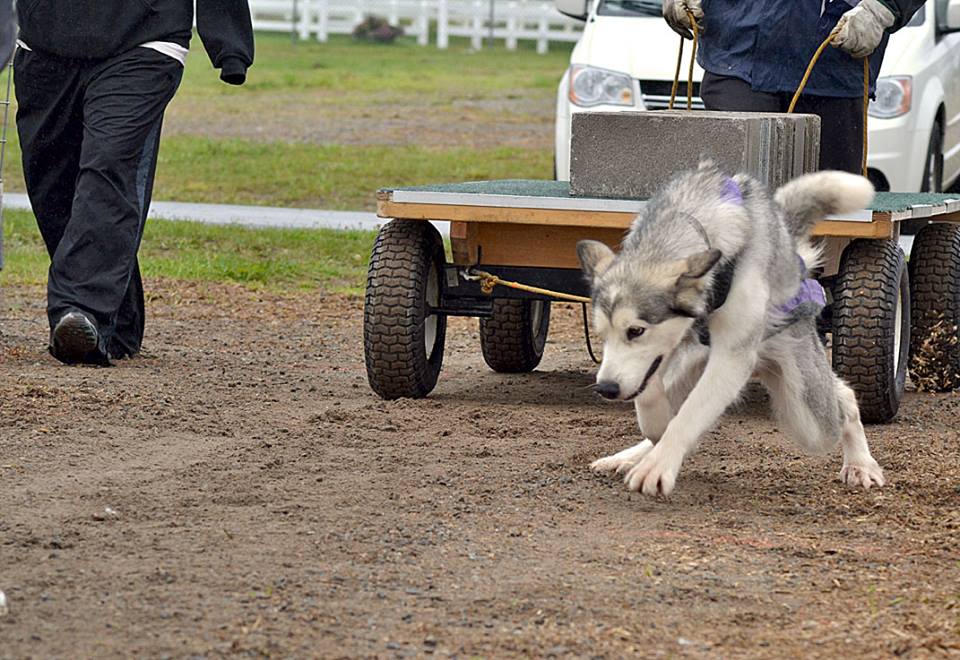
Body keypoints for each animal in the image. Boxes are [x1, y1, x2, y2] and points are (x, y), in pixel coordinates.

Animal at [576, 162, 884, 498]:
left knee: (844, 402)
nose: (605, 388)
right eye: (602, 336)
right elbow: (652, 403)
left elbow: (687, 417)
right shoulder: (660, 359)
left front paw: (658, 466)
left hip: (808, 416)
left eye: (635, 331)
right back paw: (628, 456)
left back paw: (861, 464)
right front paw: (655, 428)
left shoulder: (730, 360)